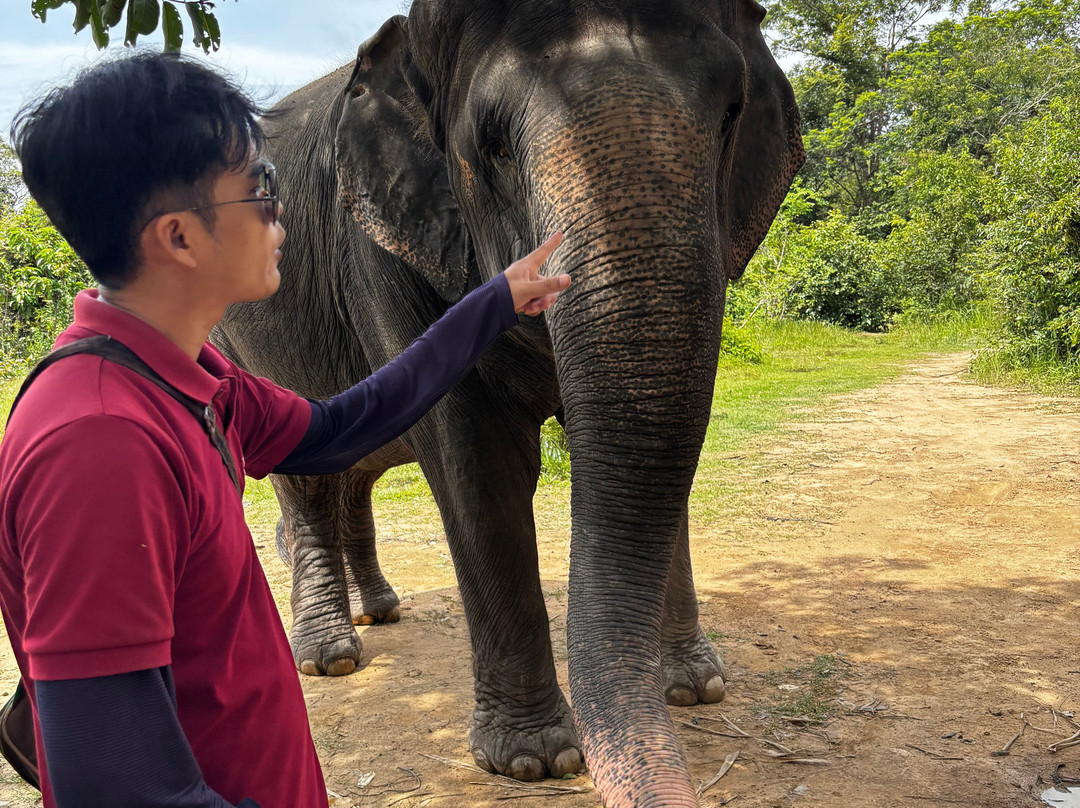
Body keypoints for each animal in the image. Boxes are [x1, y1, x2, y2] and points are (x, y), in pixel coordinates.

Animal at [212, 1, 803, 805]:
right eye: (492, 147)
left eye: (731, 116)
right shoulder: (380, 254)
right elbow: (479, 463)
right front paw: (533, 761)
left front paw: (695, 687)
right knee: (305, 482)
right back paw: (331, 656)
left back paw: (380, 611)